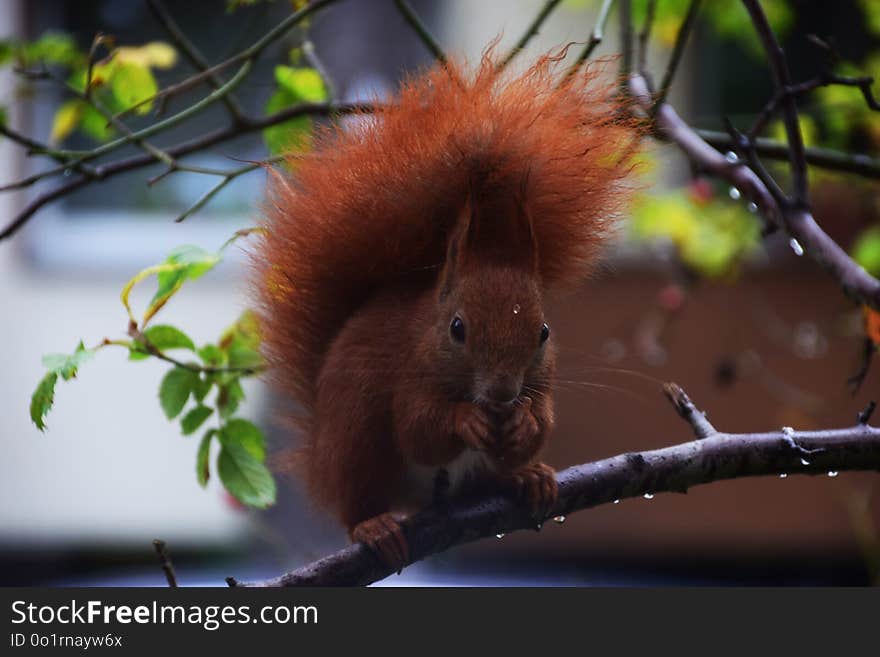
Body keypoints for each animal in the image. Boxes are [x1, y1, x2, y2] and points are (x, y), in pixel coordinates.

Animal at [253, 51, 640, 568]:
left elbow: (544, 420)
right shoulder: (410, 373)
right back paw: (373, 526)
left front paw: (524, 423)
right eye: (457, 328)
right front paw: (466, 420)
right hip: (355, 441)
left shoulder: (543, 381)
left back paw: (526, 476)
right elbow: (419, 430)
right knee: (357, 498)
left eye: (543, 332)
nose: (502, 393)